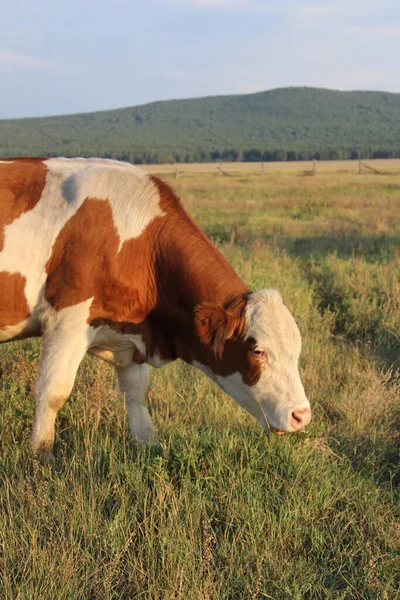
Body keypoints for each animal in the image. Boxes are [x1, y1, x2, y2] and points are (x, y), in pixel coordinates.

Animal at [0, 157, 310, 458]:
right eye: (258, 351)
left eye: (297, 352)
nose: (302, 415)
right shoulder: (66, 321)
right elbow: (54, 391)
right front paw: (40, 454)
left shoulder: (130, 337)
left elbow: (137, 394)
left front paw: (148, 446)